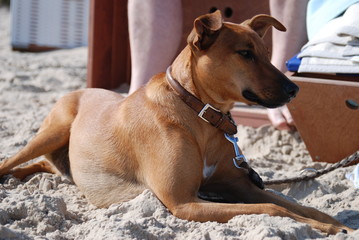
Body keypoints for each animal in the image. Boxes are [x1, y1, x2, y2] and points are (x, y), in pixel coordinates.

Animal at [0, 11, 354, 234]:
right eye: (245, 54)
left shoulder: (238, 185)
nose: (295, 89)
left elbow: (299, 206)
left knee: (47, 166)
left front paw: (338, 224)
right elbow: (275, 210)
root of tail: (83, 88)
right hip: (52, 131)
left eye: (267, 54)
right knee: (12, 159)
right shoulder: (183, 201)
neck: (201, 112)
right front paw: (326, 227)